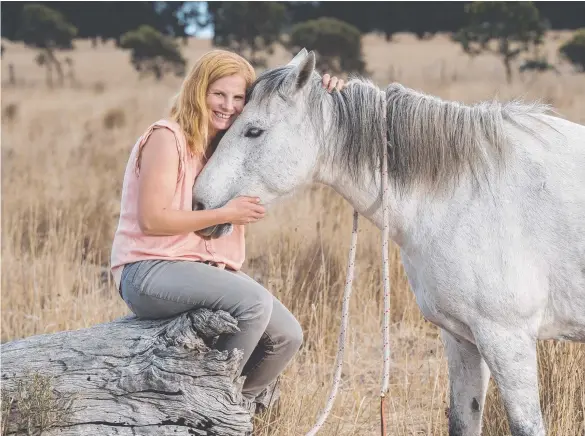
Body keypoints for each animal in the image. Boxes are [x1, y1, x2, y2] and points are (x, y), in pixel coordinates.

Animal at [194, 49, 584, 434]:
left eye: (253, 131)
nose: (198, 204)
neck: (468, 192)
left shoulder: (507, 338)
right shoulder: (462, 339)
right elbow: (462, 420)